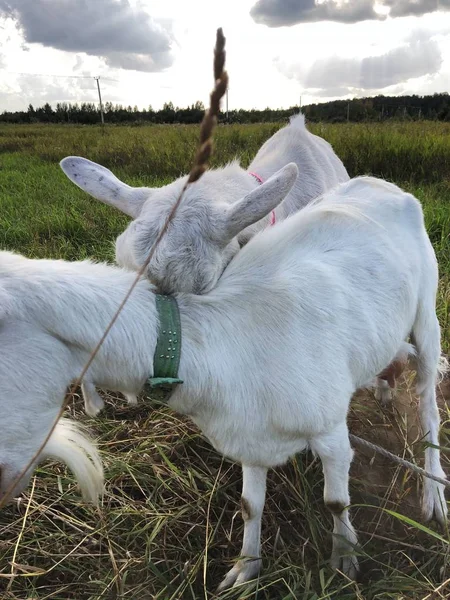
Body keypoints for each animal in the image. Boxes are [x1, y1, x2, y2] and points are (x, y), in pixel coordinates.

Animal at [0, 171, 446, 588]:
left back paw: (434, 494)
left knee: (428, 403)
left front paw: (345, 561)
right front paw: (244, 570)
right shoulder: (249, 435)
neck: (221, 344)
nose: (4, 486)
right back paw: (386, 384)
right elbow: (250, 505)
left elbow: (336, 501)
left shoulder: (330, 428)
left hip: (427, 312)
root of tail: (379, 183)